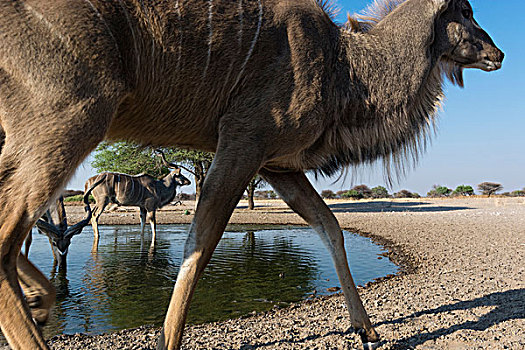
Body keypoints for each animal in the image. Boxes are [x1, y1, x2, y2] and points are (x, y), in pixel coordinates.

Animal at [0, 0, 502, 350]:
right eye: (466, 10)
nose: (497, 53)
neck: (342, 64)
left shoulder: (276, 164)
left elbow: (330, 226)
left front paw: (367, 331)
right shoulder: (244, 139)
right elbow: (199, 245)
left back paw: (42, 299)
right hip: (72, 116)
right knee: (8, 238)